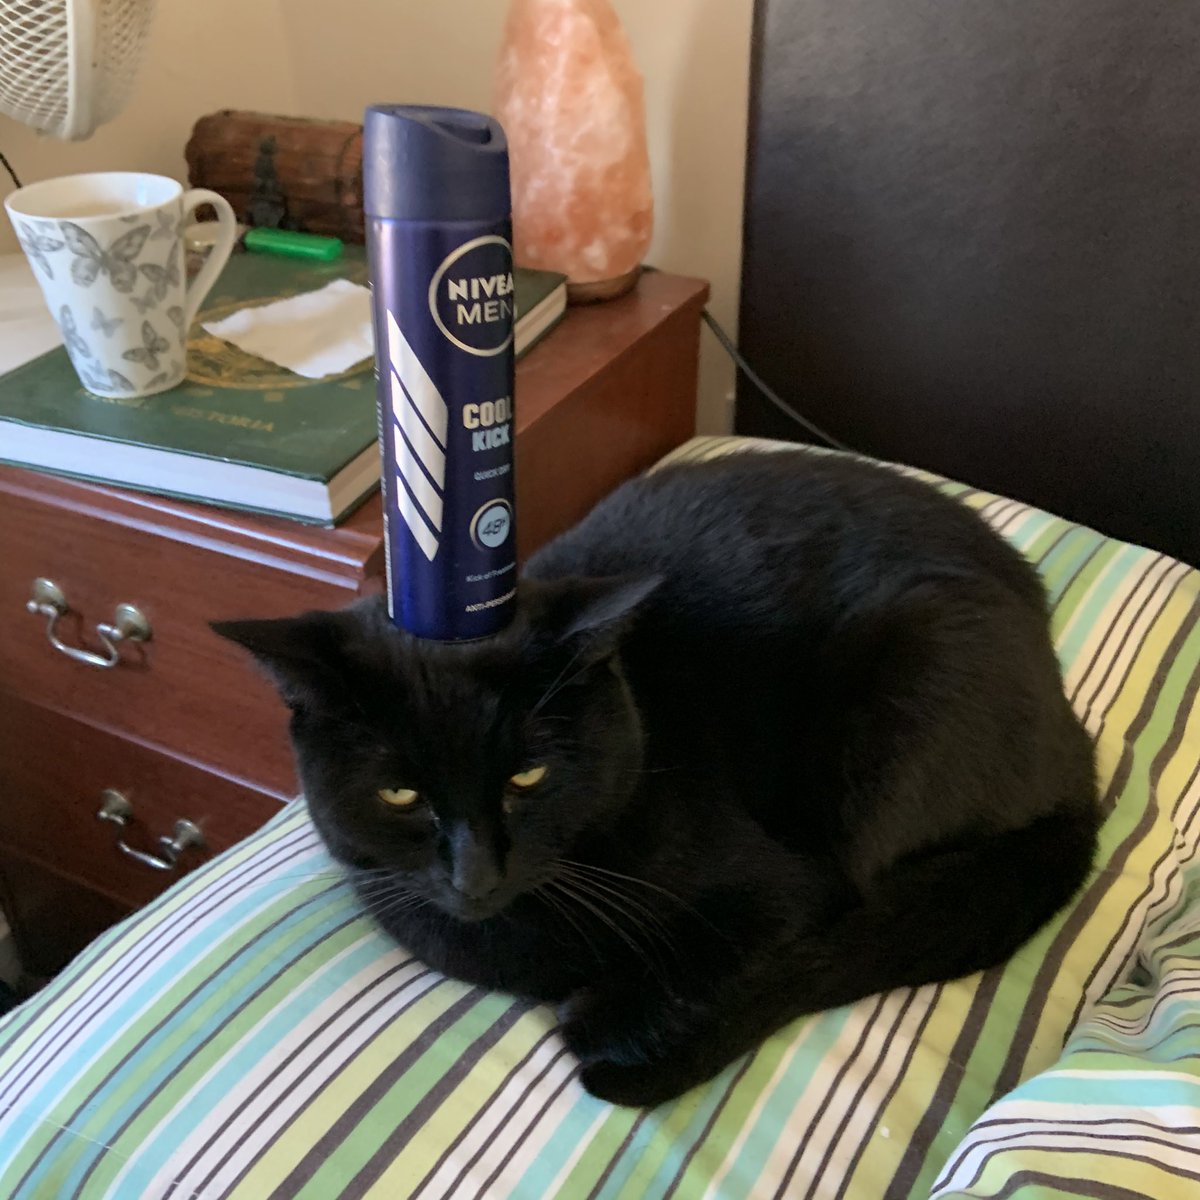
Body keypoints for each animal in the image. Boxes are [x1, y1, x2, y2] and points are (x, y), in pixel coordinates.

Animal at [214, 449, 1098, 1108]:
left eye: (528, 776)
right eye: (401, 794)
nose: (475, 873)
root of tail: (1073, 735)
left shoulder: (778, 886)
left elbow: (735, 942)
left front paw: (610, 1013)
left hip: (907, 686)